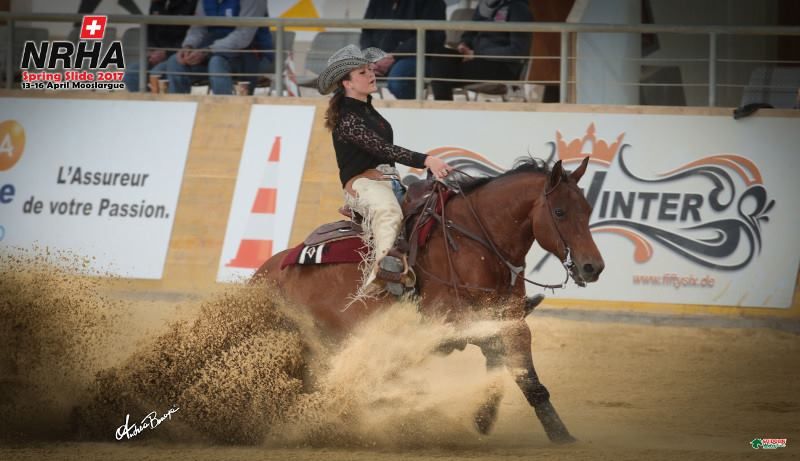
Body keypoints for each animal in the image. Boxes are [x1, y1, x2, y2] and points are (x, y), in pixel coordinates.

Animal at [253, 156, 604, 444]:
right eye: (559, 211)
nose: (593, 267)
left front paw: (554, 433)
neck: (475, 241)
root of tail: (265, 271)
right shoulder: (451, 323)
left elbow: (523, 374)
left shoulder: (510, 319)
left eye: (588, 210)